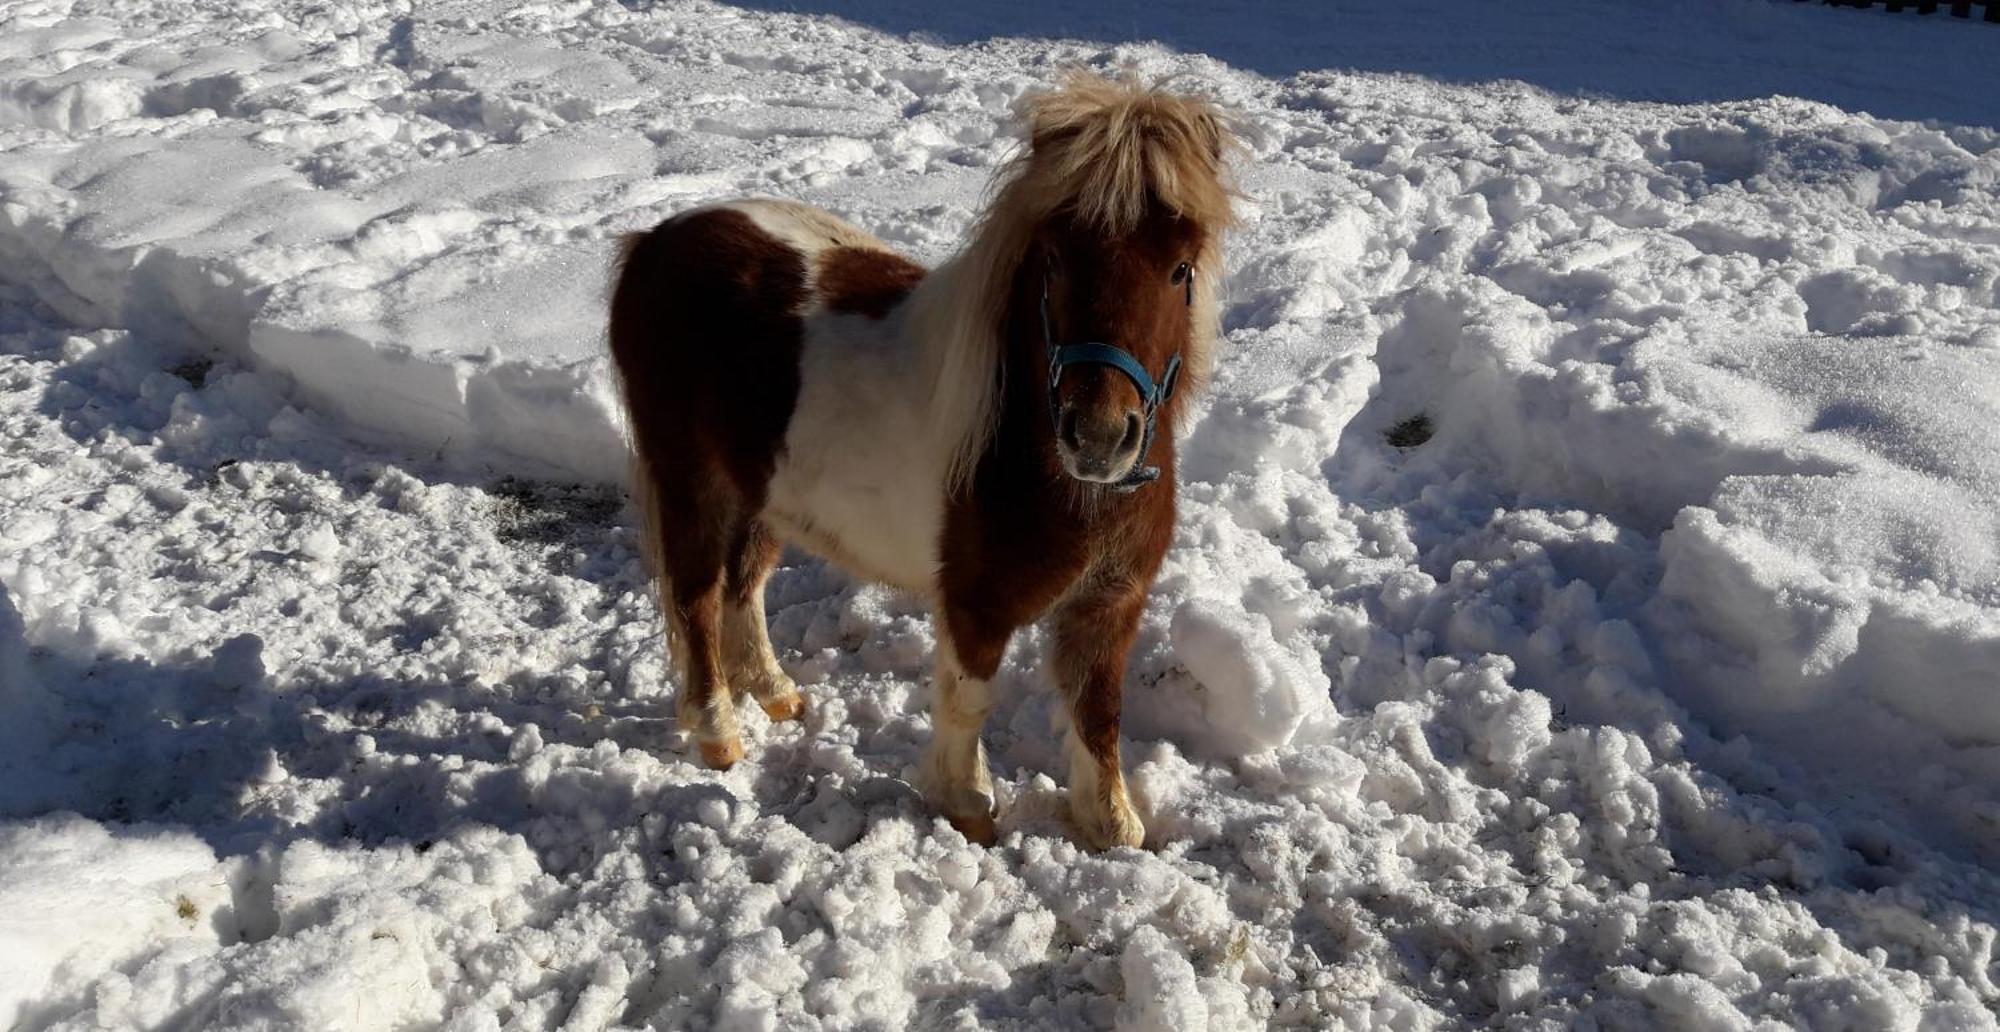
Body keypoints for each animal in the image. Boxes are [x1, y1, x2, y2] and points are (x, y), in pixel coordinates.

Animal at [604, 70, 1232, 848]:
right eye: (1055, 260)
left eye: (1180, 268)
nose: (1097, 435)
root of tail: (656, 240)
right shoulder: (975, 608)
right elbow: (969, 703)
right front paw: (968, 807)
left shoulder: (1110, 605)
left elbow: (1100, 710)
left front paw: (1110, 826)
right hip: (689, 478)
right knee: (695, 594)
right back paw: (719, 732)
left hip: (761, 488)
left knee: (742, 585)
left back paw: (778, 694)